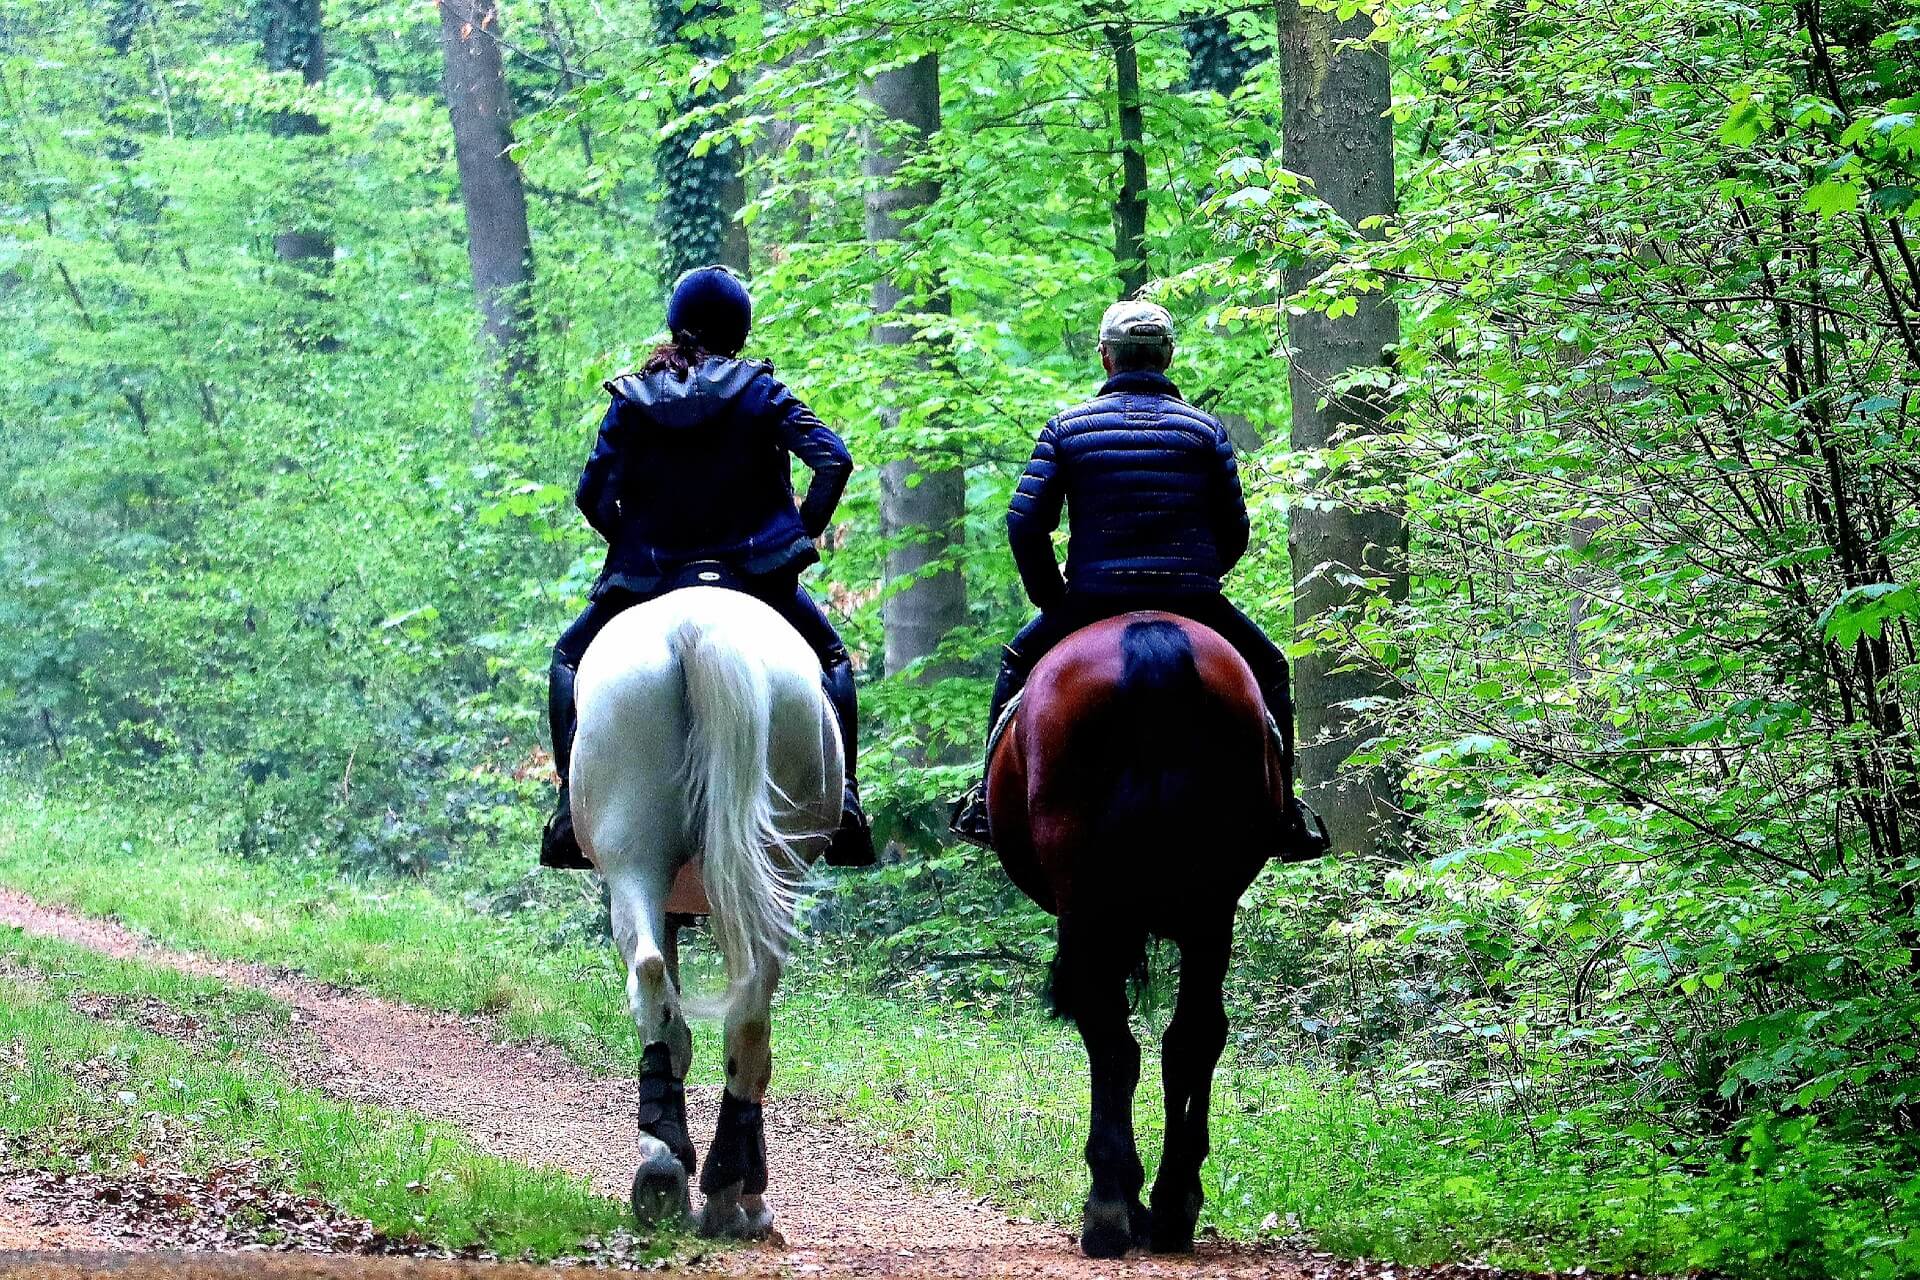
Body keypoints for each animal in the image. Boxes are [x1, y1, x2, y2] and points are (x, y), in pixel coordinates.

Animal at [568, 587, 840, 1235]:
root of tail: (697, 625)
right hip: (766, 871)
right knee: (746, 1013)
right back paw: (729, 1189)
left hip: (636, 857)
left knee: (653, 980)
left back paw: (669, 1168)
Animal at [990, 614, 1290, 1258]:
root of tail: (1149, 636)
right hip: (1210, 910)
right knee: (1193, 1037)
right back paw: (1175, 1204)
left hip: (1090, 908)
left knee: (1111, 1042)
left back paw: (1110, 1208)